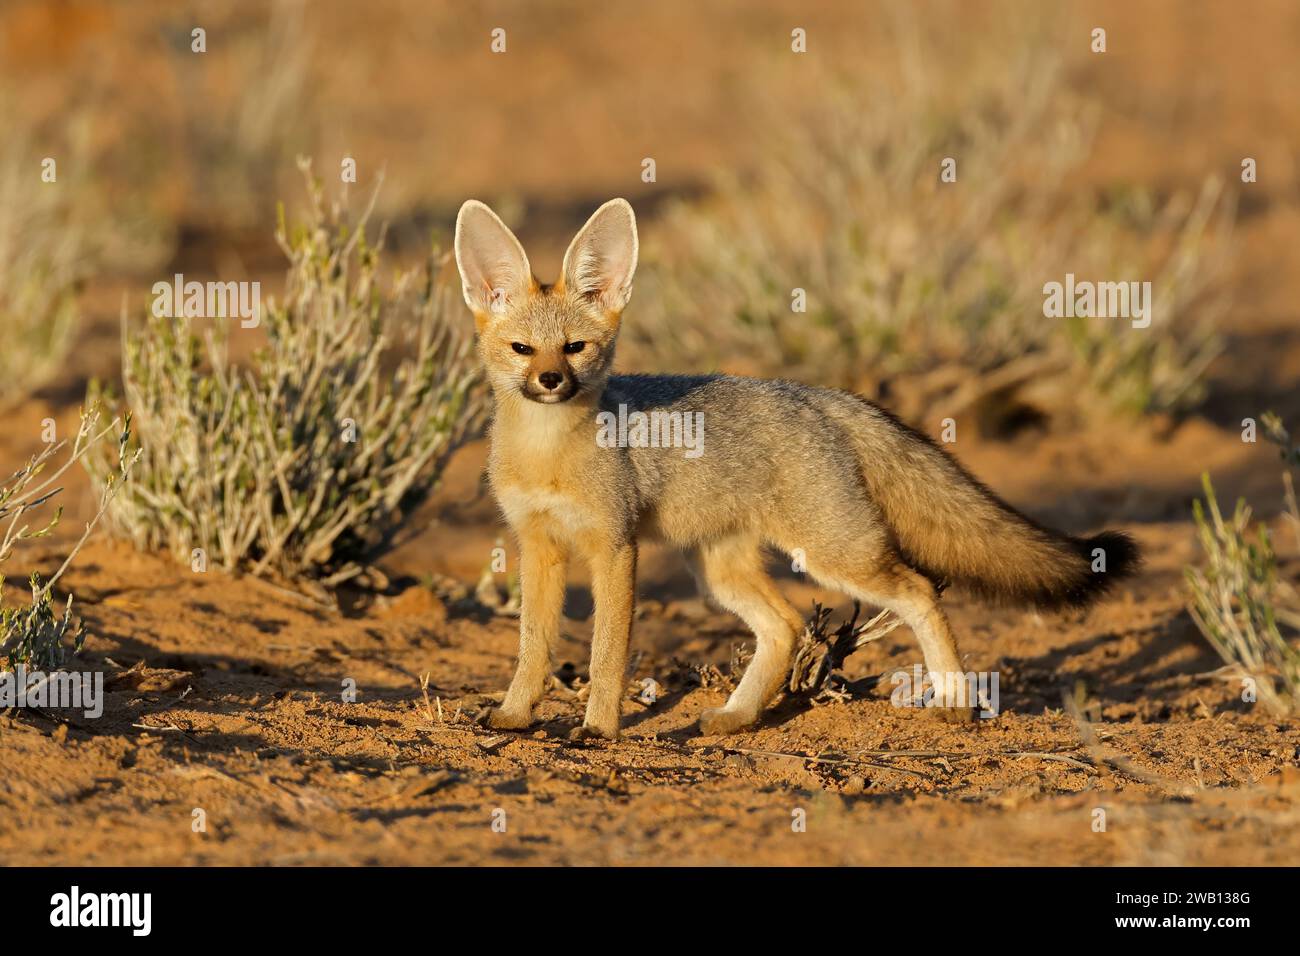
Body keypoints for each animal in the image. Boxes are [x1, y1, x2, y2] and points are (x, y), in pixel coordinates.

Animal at [454, 197, 1138, 743]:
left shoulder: (614, 547)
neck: (548, 455)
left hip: (835, 555)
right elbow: (533, 647)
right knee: (783, 627)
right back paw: (737, 716)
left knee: (918, 591)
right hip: (718, 571)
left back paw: (955, 701)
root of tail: (817, 395)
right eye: (522, 349)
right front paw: (513, 716)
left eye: (575, 348)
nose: (550, 380)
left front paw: (598, 729)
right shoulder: (537, 545)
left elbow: (605, 654)